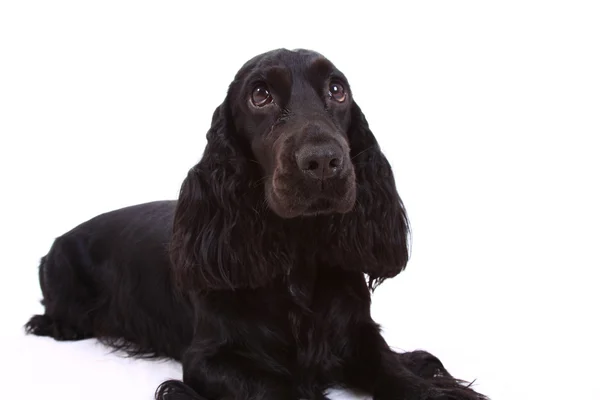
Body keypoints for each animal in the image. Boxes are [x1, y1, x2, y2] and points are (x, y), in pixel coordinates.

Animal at [24, 48, 488, 398]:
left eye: (337, 90)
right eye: (260, 95)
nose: (324, 162)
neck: (298, 256)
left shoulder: (357, 332)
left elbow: (393, 369)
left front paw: (432, 385)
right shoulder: (208, 359)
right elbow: (283, 390)